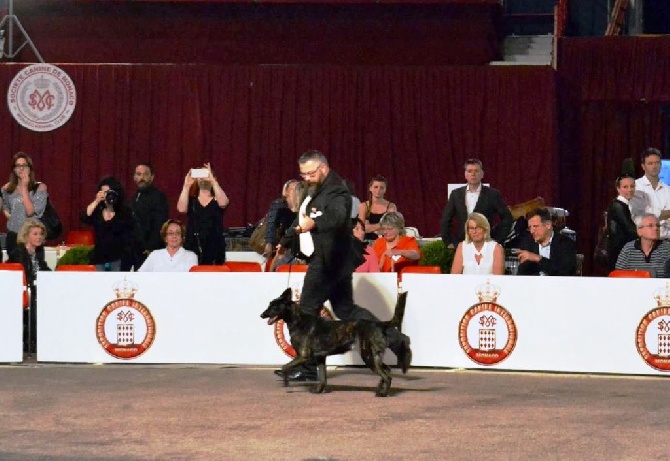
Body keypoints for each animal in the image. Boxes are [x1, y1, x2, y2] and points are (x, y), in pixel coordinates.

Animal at [262, 288, 410, 396]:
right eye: (269, 305)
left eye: (274, 307)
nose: (262, 315)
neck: (298, 320)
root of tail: (379, 324)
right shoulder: (320, 358)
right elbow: (322, 377)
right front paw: (319, 391)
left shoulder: (304, 356)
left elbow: (285, 367)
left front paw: (286, 381)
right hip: (373, 357)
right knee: (387, 370)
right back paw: (380, 388)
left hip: (368, 357)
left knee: (387, 375)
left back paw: (383, 393)